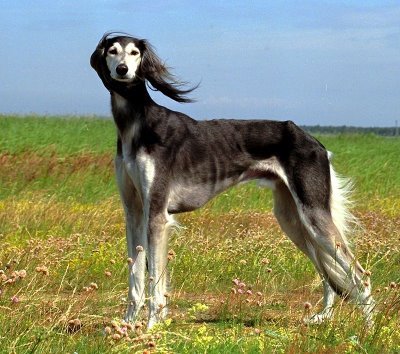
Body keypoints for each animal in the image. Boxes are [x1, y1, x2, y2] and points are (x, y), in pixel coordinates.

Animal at [90, 31, 376, 328]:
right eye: (112, 51)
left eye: (134, 52)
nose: (123, 70)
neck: (137, 125)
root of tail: (316, 143)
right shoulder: (134, 212)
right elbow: (135, 275)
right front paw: (127, 325)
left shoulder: (157, 213)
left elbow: (154, 280)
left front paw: (152, 327)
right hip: (293, 218)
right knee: (329, 275)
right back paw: (323, 317)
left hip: (313, 214)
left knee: (359, 275)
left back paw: (368, 329)